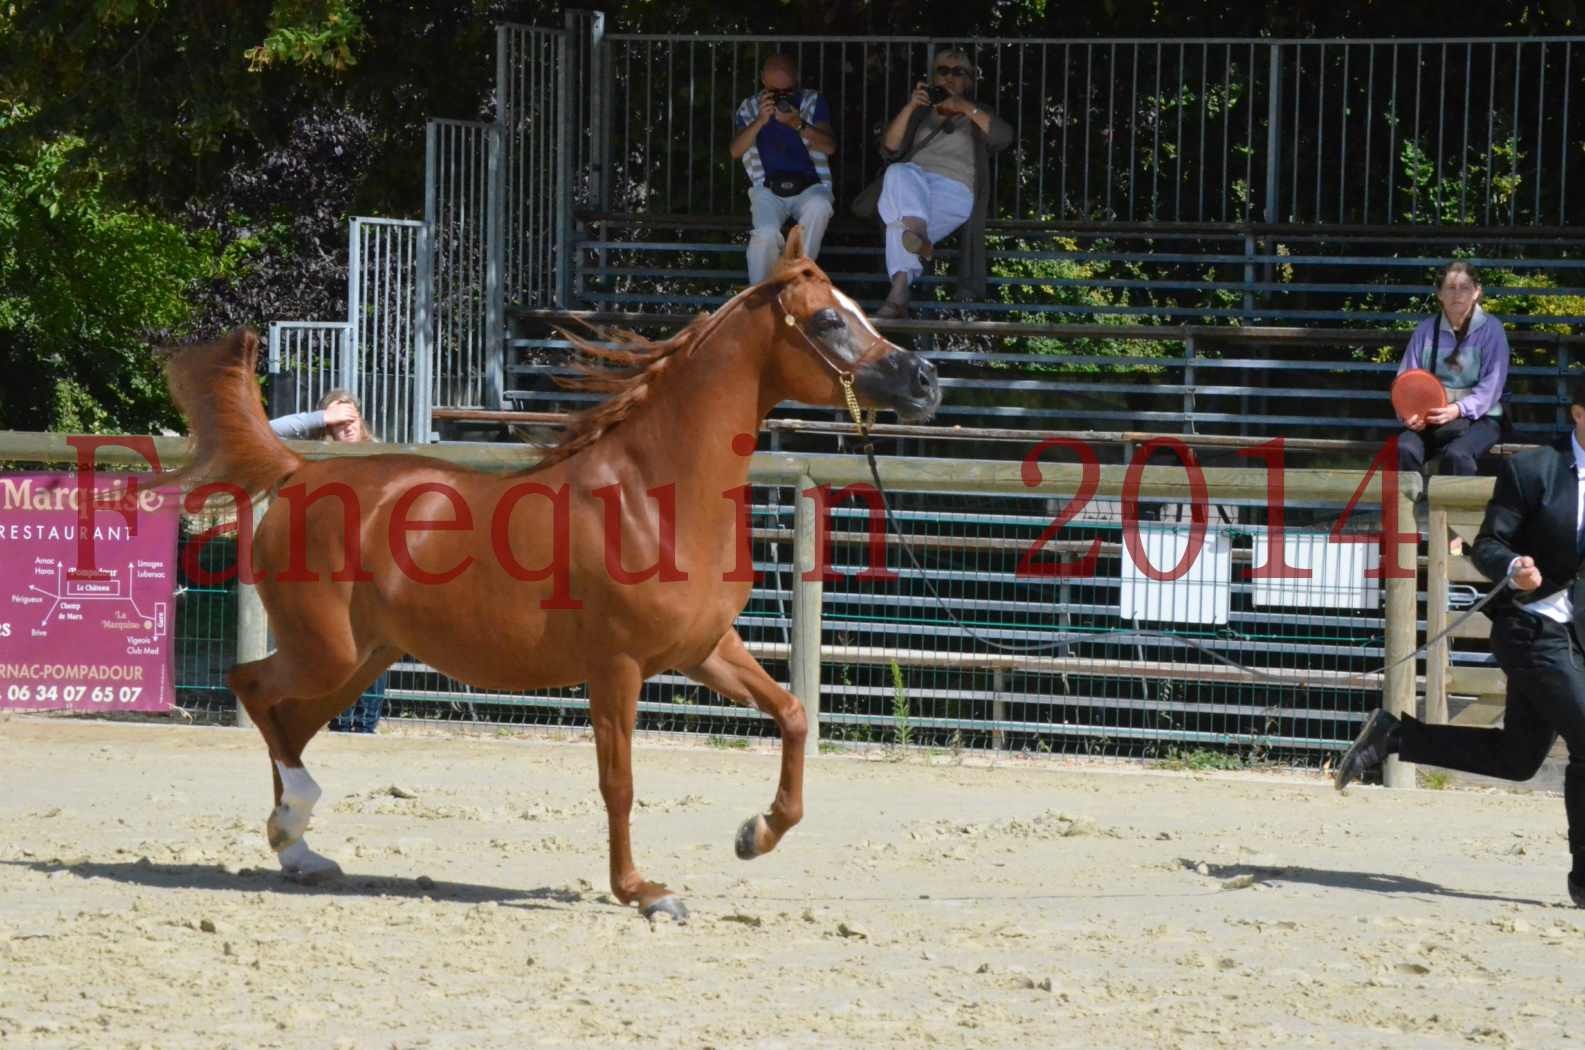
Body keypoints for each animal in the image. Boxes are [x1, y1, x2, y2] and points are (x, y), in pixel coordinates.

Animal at [170, 229, 938, 919]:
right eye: (829, 318)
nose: (925, 381)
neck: (653, 496)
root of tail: (299, 472)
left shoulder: (702, 650)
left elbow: (794, 716)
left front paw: (756, 834)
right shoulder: (616, 666)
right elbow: (618, 782)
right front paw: (644, 893)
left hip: (365, 657)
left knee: (289, 720)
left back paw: (299, 850)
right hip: (325, 650)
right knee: (253, 688)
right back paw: (294, 824)